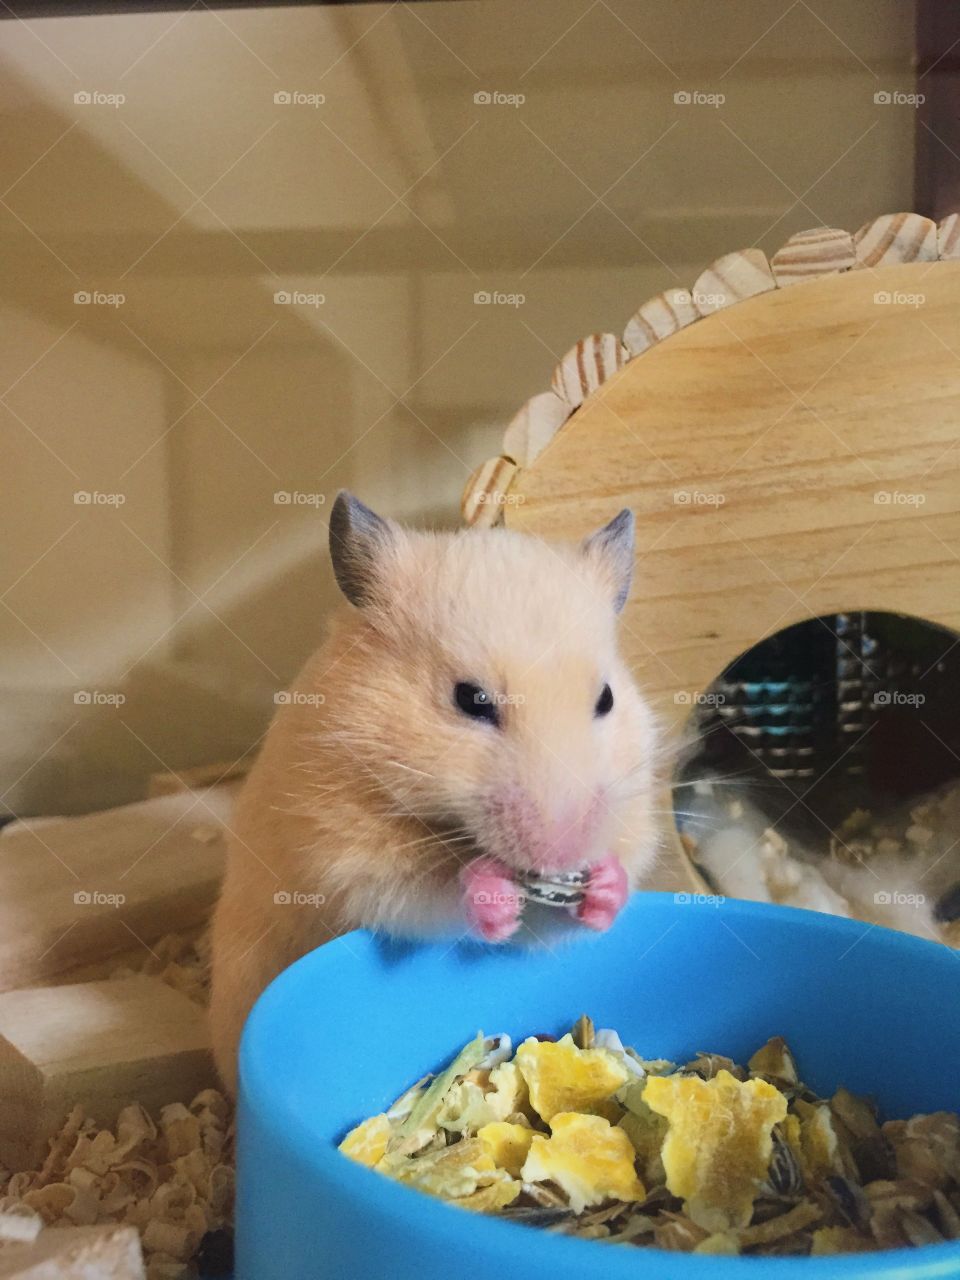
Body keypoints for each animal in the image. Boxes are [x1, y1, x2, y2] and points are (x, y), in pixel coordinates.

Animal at [210, 492, 663, 1093]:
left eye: (607, 698)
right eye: (471, 699)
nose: (561, 854)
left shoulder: (634, 815)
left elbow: (608, 880)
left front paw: (603, 889)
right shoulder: (343, 851)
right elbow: (432, 888)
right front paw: (494, 895)